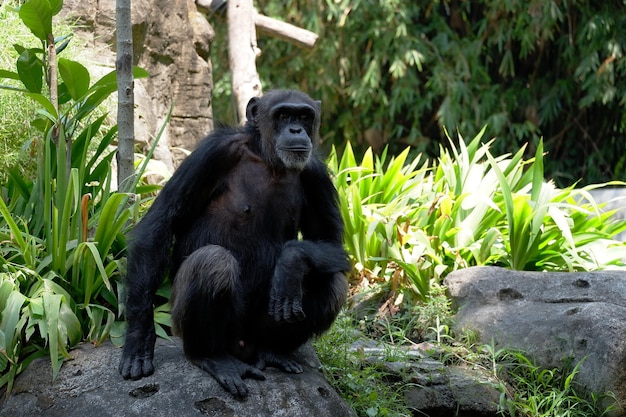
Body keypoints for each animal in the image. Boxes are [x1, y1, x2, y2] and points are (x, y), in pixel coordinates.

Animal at [119, 88, 348, 396]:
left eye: (304, 116)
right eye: (283, 115)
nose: (296, 130)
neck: (268, 159)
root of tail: (243, 349)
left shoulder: (317, 175)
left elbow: (330, 241)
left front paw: (290, 264)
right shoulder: (212, 152)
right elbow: (158, 225)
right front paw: (138, 339)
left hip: (256, 333)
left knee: (331, 281)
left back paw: (273, 351)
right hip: (211, 331)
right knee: (212, 261)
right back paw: (211, 358)